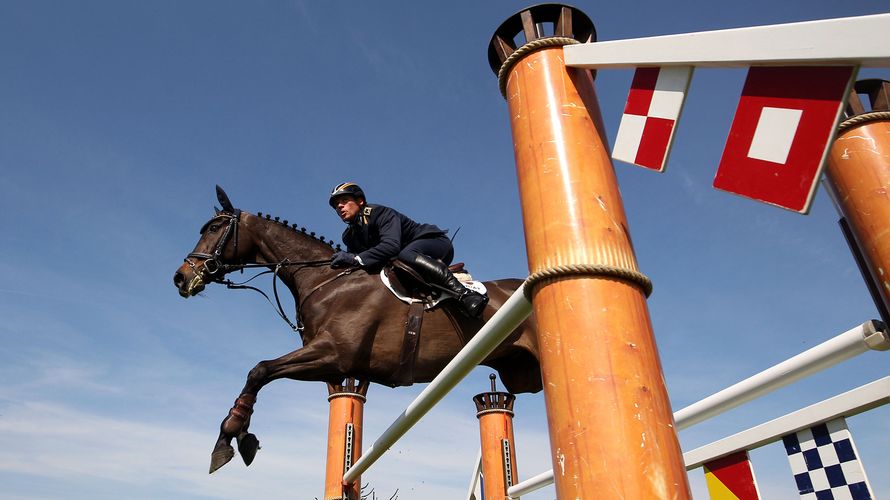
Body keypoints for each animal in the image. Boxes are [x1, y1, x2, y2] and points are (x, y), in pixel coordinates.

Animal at [170, 188, 536, 472]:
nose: (181, 278)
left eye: (214, 227)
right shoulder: (332, 367)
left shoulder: (333, 353)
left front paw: (230, 436)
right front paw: (236, 437)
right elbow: (264, 373)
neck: (326, 280)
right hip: (523, 377)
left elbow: (259, 370)